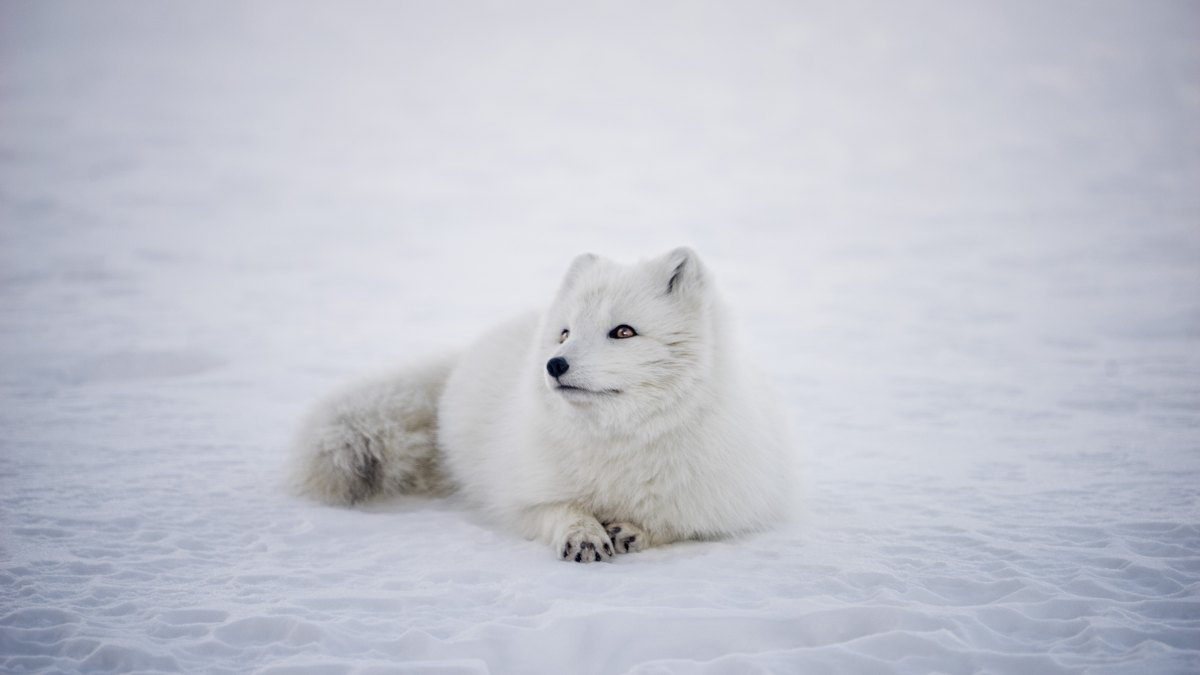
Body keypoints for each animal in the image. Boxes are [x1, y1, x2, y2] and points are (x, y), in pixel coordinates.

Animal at [290, 246, 796, 557]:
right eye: (565, 333)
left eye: (623, 332)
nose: (554, 365)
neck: (618, 444)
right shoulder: (519, 496)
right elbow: (556, 509)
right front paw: (582, 533)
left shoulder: (727, 504)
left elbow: (678, 523)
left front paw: (634, 529)